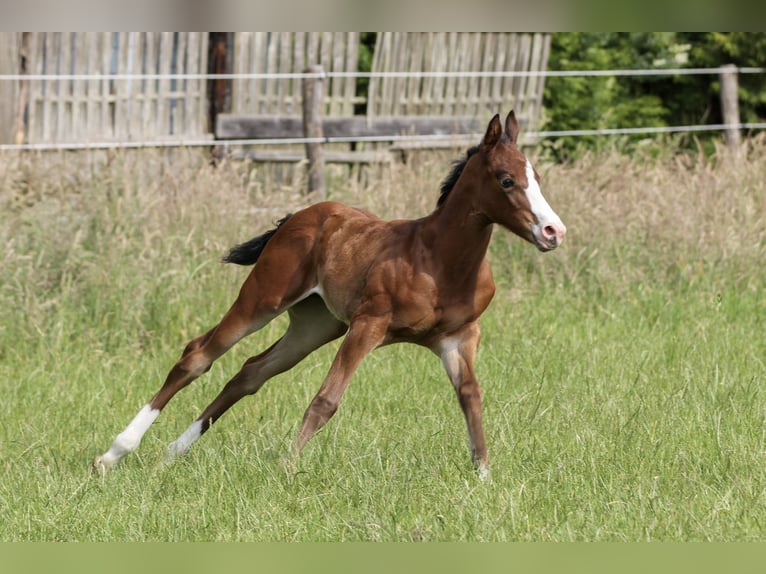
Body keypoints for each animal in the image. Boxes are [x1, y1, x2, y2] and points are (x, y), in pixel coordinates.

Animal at [93, 110, 566, 480]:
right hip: (263, 300)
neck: (439, 260)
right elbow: (326, 400)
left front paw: (484, 477)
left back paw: (172, 453)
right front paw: (287, 469)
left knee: (250, 373)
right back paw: (113, 454)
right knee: (197, 356)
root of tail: (297, 216)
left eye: (539, 178)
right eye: (506, 180)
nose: (553, 231)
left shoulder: (459, 338)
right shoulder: (368, 324)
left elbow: (471, 397)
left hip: (314, 325)